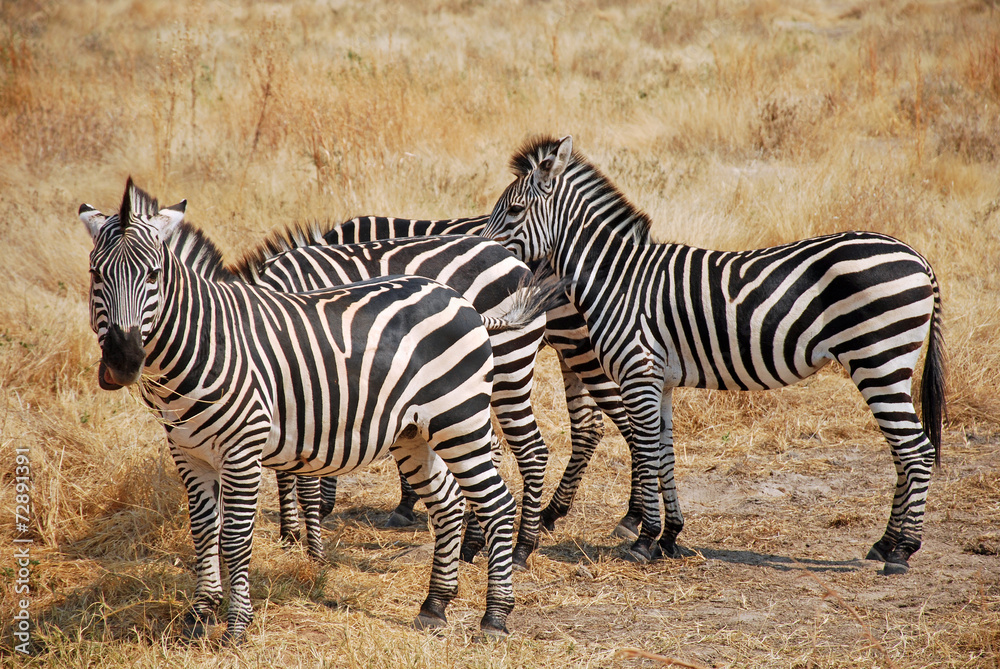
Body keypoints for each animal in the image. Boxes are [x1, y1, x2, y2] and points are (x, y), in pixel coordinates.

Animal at [80, 179, 521, 642]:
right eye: (95, 274)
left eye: (153, 275)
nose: (123, 360)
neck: (208, 342)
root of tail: (458, 299)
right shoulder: (188, 452)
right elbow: (203, 532)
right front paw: (199, 614)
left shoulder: (244, 450)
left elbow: (234, 537)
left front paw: (237, 624)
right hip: (415, 432)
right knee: (448, 503)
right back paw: (434, 606)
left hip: (460, 419)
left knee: (497, 504)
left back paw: (495, 615)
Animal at [231, 233, 554, 569]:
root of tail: (512, 258)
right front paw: (291, 532)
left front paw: (305, 541)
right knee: (492, 449)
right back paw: (472, 545)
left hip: (506, 369)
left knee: (531, 451)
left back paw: (520, 549)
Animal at [481, 135, 946, 575]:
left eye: (515, 210)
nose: (482, 254)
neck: (618, 279)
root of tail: (918, 258)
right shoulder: (661, 380)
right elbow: (664, 452)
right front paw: (669, 536)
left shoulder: (639, 372)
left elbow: (646, 451)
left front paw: (644, 540)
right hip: (891, 364)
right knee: (901, 450)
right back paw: (884, 542)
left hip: (877, 358)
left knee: (916, 450)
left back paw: (902, 551)